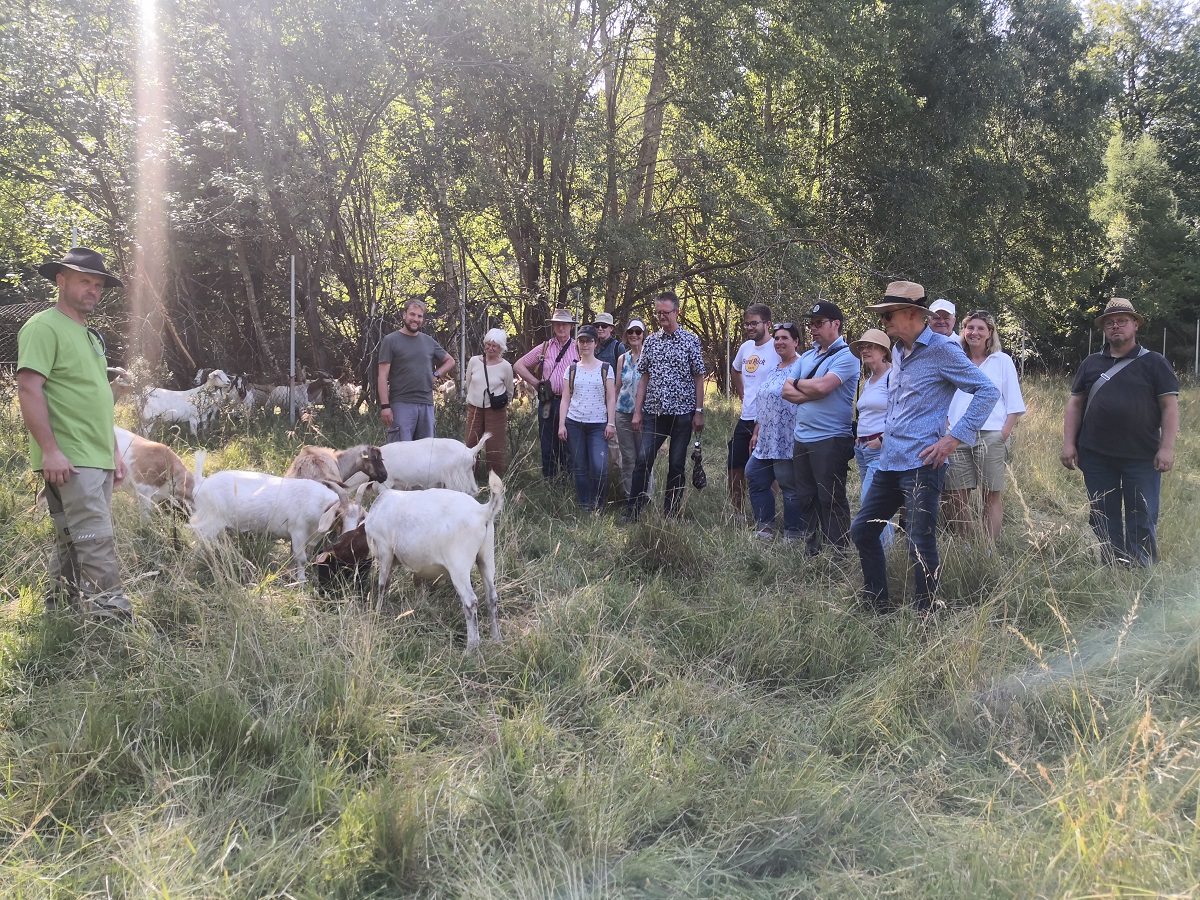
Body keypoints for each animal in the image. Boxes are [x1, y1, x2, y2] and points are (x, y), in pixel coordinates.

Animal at [188, 472, 360, 585]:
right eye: (339, 515)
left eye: (360, 518)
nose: (348, 537)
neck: (318, 505)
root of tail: (200, 484)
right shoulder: (298, 532)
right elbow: (301, 558)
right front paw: (301, 580)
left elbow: (294, 557)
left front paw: (290, 574)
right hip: (210, 522)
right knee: (200, 539)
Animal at [360, 472, 501, 657]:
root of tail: (483, 512)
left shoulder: (385, 549)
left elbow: (384, 584)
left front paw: (377, 613)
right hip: (486, 556)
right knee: (492, 597)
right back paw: (496, 639)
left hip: (459, 564)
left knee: (470, 602)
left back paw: (471, 649)